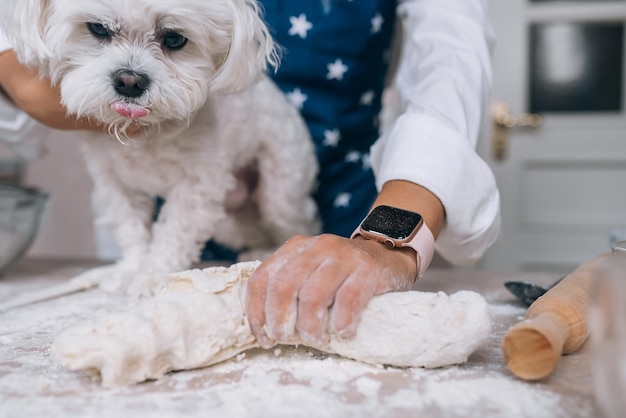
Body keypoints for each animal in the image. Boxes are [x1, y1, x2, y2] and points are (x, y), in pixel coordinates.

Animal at [1, 0, 316, 294]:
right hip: (230, 221)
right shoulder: (116, 183)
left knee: (301, 225)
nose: (130, 81)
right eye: (98, 29)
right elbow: (132, 231)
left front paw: (151, 276)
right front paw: (130, 270)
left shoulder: (197, 186)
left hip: (280, 195)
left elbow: (173, 233)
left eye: (174, 39)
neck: (147, 134)